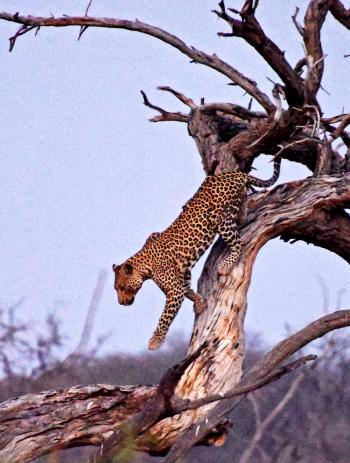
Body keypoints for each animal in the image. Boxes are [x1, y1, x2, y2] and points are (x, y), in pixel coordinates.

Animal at [113, 158, 280, 350]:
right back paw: (245, 205)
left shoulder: (174, 290)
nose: (121, 303)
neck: (145, 267)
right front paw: (200, 303)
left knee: (238, 243)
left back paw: (225, 266)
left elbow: (165, 316)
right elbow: (188, 289)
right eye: (116, 289)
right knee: (243, 211)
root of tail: (236, 174)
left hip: (220, 220)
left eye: (122, 287)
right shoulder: (183, 272)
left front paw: (156, 340)